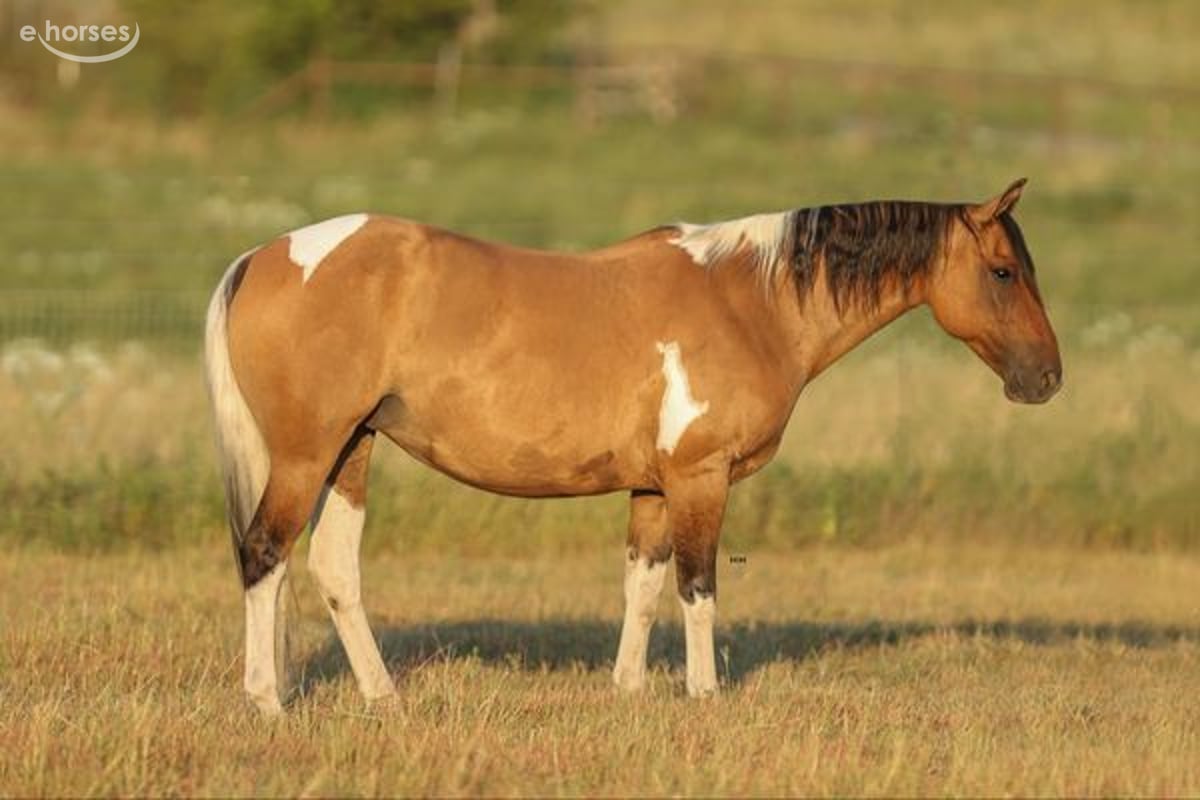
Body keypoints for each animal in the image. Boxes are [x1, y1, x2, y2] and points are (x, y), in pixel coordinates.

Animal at [205, 178, 1061, 714]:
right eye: (1003, 271)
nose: (1047, 378)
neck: (750, 302)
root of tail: (262, 256)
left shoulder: (652, 488)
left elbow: (642, 587)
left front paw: (629, 691)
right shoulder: (700, 478)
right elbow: (698, 586)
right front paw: (703, 696)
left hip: (352, 451)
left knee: (331, 568)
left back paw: (383, 697)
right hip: (307, 455)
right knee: (265, 554)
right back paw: (266, 700)